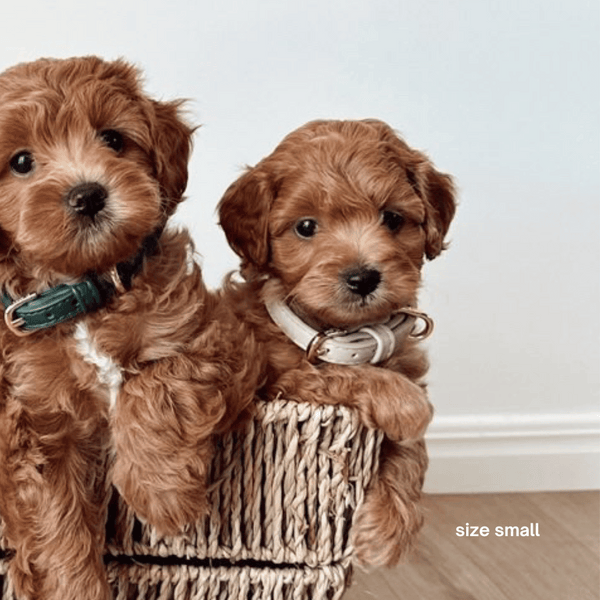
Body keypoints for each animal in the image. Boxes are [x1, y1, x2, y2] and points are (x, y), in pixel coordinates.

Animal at [0, 57, 262, 600]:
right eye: (20, 161)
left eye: (114, 139)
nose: (87, 195)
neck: (84, 291)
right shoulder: (35, 425)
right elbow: (54, 519)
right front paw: (74, 587)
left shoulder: (217, 335)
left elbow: (159, 383)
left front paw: (159, 493)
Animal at [218, 118, 458, 568]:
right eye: (306, 226)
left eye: (392, 218)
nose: (362, 277)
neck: (352, 334)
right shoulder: (276, 380)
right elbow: (338, 376)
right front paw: (406, 405)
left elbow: (413, 453)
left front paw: (387, 531)